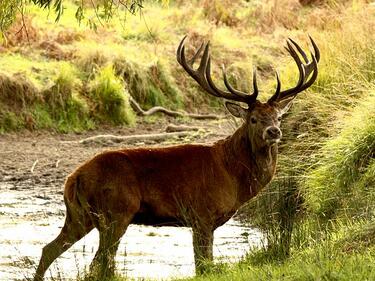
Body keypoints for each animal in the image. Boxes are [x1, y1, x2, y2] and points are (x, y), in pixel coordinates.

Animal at [33, 36, 320, 278]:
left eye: (278, 116)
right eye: (253, 119)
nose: (274, 131)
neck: (232, 175)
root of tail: (73, 178)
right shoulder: (201, 214)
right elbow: (203, 266)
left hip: (79, 215)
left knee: (50, 249)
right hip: (116, 212)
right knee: (98, 264)